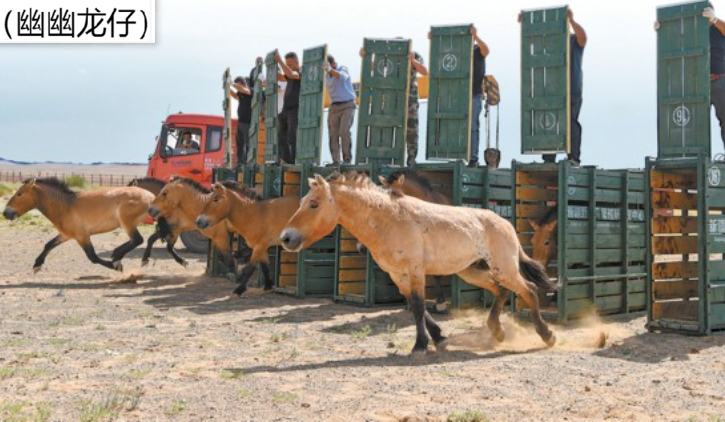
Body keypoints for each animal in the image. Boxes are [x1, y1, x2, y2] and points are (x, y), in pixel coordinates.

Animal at [2, 177, 153, 270]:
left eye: (19, 194)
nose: (5, 213)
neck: (65, 206)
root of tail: (151, 196)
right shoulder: (66, 235)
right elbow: (49, 245)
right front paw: (37, 265)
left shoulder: (82, 236)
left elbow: (92, 257)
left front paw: (115, 267)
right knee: (135, 241)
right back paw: (117, 254)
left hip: (127, 222)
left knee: (137, 240)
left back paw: (117, 258)